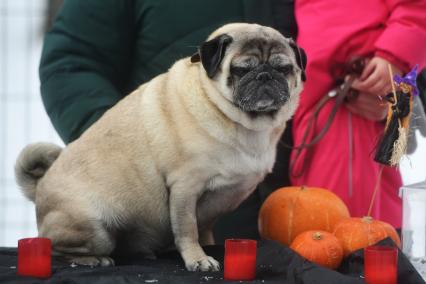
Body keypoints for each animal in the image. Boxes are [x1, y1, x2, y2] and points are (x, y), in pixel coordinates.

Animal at [14, 23, 306, 272]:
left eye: (284, 69)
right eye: (242, 69)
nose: (265, 75)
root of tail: (40, 187)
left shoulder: (214, 204)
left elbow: (203, 230)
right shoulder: (185, 187)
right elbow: (187, 230)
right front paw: (198, 260)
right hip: (94, 228)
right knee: (55, 248)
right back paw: (93, 259)